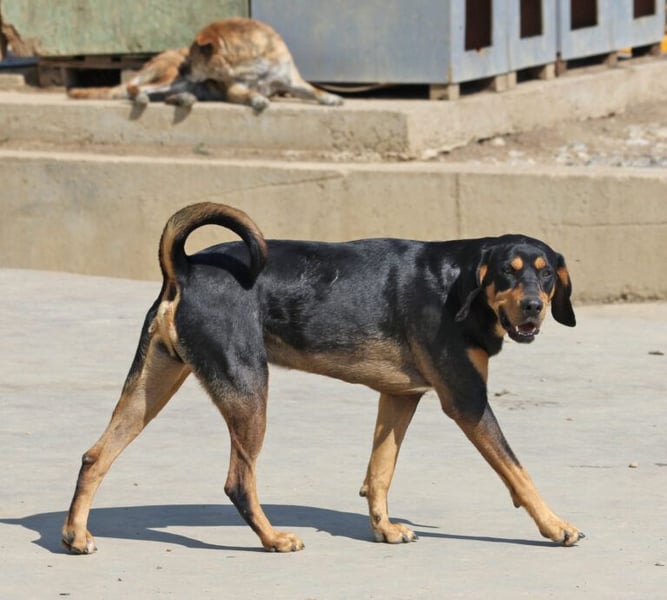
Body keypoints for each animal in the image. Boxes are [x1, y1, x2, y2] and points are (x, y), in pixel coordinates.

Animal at [62, 202, 583, 554]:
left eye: (546, 276)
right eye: (508, 273)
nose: (534, 308)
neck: (461, 283)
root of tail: (185, 268)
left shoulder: (399, 396)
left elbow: (380, 472)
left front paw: (383, 529)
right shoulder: (467, 401)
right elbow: (518, 472)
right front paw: (555, 525)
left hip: (152, 385)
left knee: (95, 456)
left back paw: (76, 534)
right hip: (249, 392)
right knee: (237, 481)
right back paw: (271, 538)